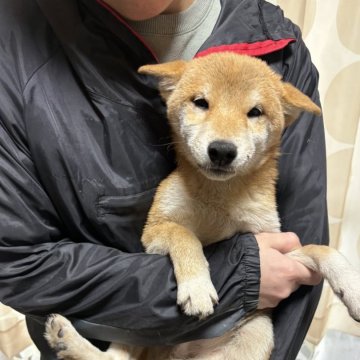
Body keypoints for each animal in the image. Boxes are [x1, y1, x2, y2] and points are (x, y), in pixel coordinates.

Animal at [45, 52, 360, 360]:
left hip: (256, 331)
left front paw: (352, 287)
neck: (217, 197)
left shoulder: (269, 244)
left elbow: (322, 250)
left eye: (255, 112)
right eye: (201, 102)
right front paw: (197, 286)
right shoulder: (156, 229)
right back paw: (66, 339)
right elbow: (185, 236)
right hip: (137, 330)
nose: (221, 150)